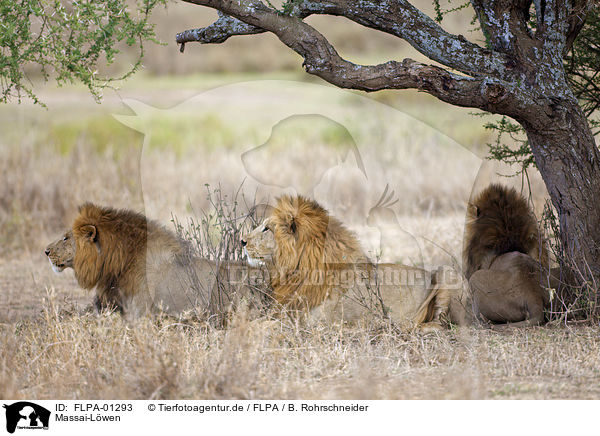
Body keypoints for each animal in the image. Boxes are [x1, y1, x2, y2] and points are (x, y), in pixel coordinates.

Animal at [239, 195, 450, 328]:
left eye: (267, 228)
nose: (242, 241)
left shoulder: (312, 323)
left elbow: (263, 327)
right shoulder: (285, 311)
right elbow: (252, 323)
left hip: (447, 272)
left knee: (439, 326)